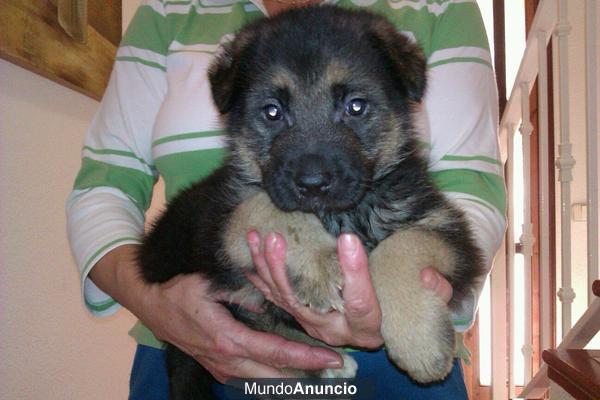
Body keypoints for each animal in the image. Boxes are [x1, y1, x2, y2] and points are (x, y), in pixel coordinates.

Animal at [138, 4, 486, 398]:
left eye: (355, 106)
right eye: (272, 111)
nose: (313, 183)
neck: (343, 215)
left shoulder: (445, 227)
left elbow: (400, 246)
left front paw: (419, 343)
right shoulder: (217, 222)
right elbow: (262, 205)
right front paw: (319, 264)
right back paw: (321, 362)